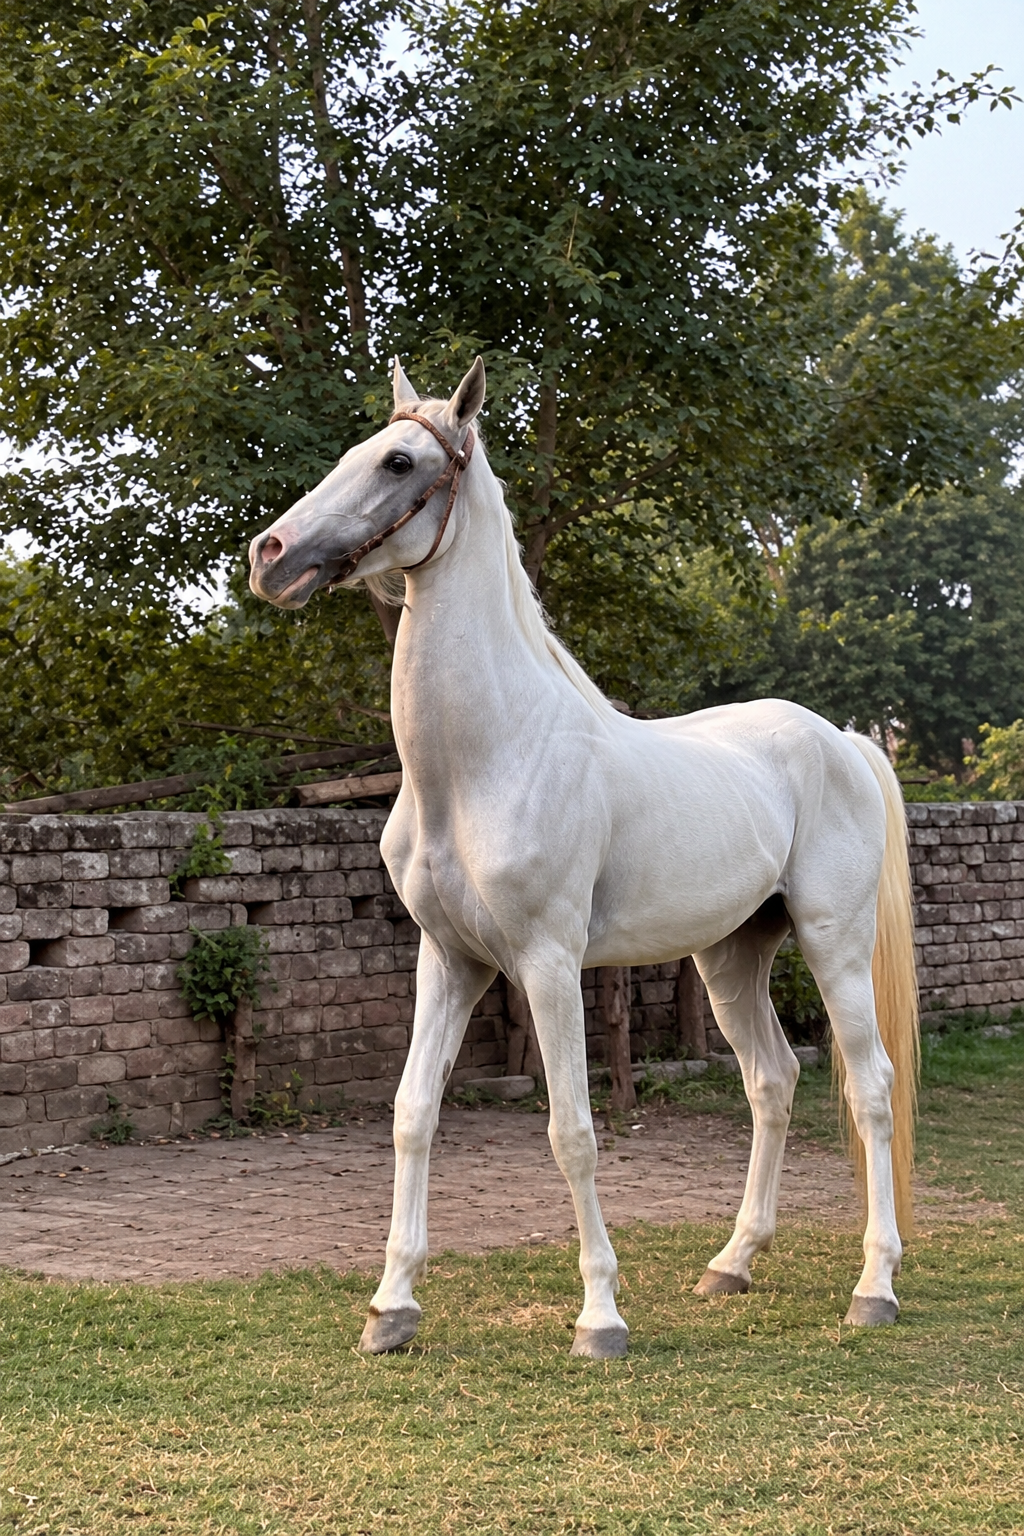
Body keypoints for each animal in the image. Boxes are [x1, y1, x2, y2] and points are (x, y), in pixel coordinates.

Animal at [248, 356, 919, 1359]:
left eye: (400, 461)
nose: (272, 555)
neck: (487, 761)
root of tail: (839, 738)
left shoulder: (548, 964)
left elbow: (573, 1133)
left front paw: (601, 1317)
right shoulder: (447, 962)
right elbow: (412, 1116)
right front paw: (392, 1307)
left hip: (832, 943)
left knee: (869, 1088)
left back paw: (874, 1286)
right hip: (732, 956)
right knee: (773, 1081)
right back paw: (732, 1264)